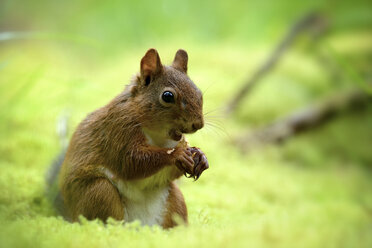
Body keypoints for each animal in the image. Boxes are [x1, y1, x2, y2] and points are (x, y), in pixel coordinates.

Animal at [57, 49, 209, 229]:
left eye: (199, 92)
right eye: (167, 96)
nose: (198, 124)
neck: (157, 133)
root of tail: (140, 225)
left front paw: (200, 156)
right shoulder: (117, 128)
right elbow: (130, 161)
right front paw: (176, 154)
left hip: (175, 200)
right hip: (99, 192)